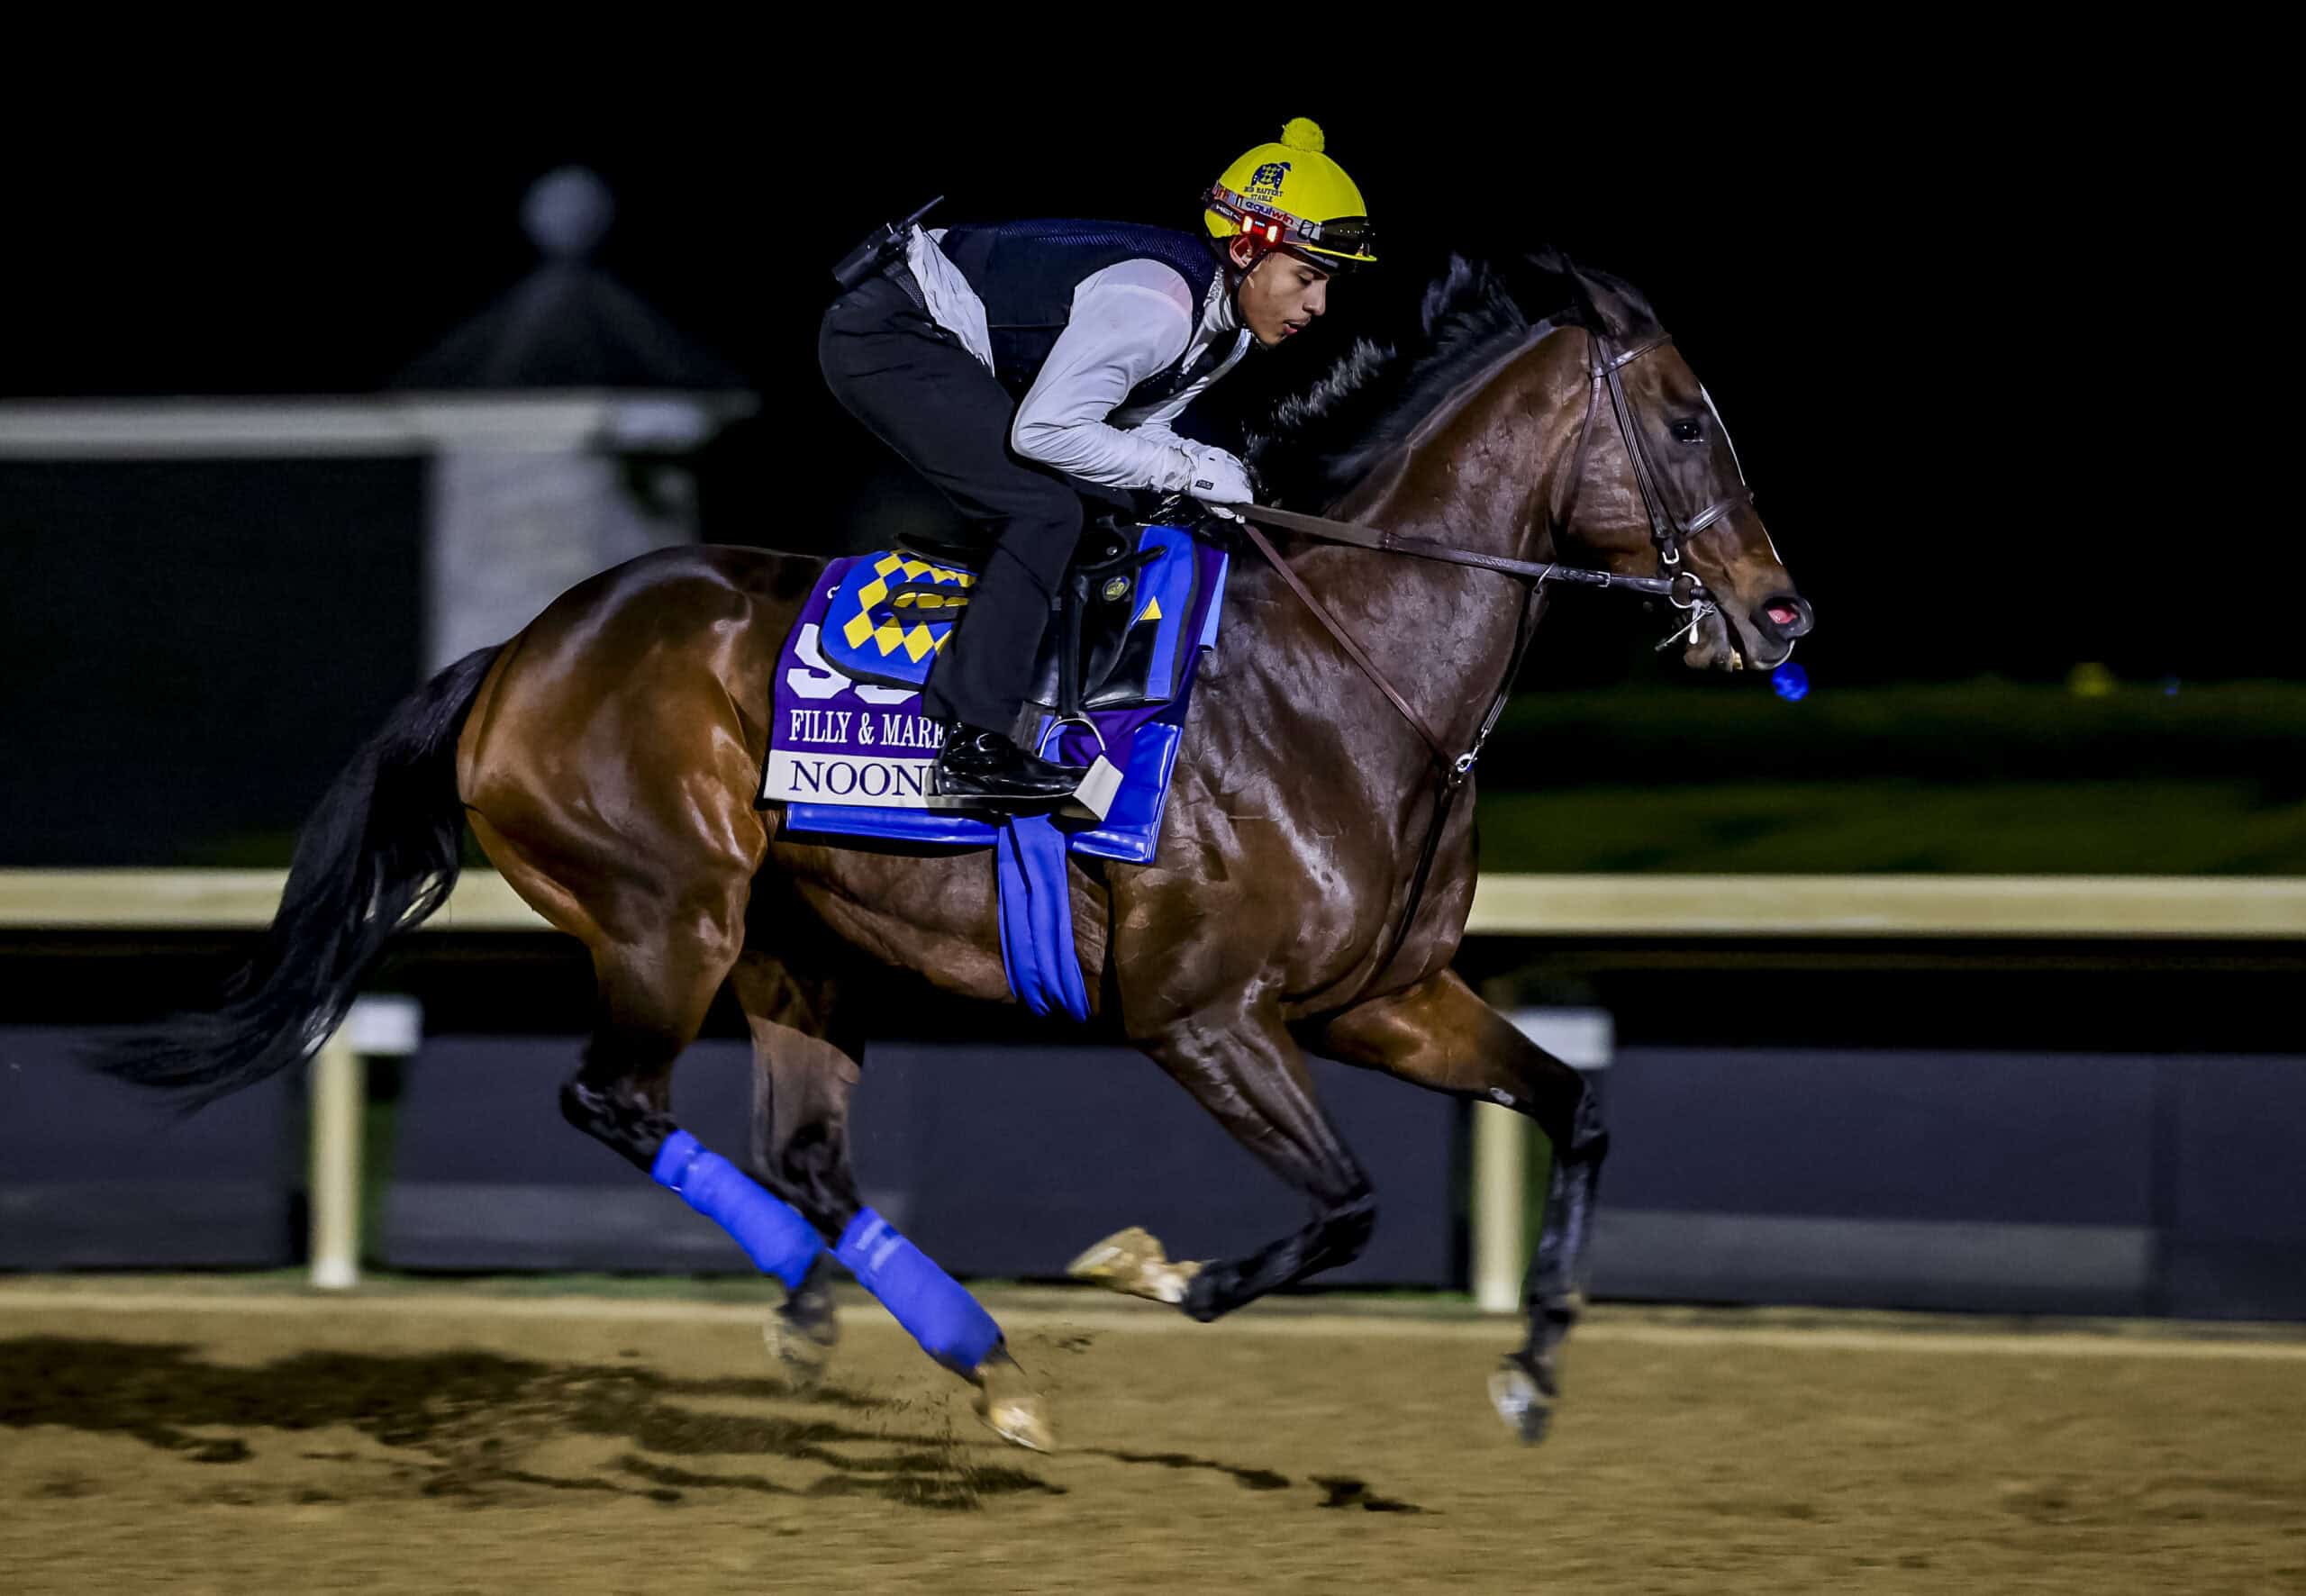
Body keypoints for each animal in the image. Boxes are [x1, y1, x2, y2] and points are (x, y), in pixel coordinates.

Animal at [90, 251, 1812, 1450]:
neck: (1346, 673)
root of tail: (517, 650)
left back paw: (957, 1356)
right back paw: (920, 1335)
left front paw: (1531, 1374)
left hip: (797, 947)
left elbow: (1578, 1109)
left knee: (806, 1153)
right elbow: (1345, 1209)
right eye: (1685, 417)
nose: (1782, 612)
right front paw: (1155, 1274)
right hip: (666, 917)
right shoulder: (1199, 1017)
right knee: (617, 1101)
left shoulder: (1381, 1000)